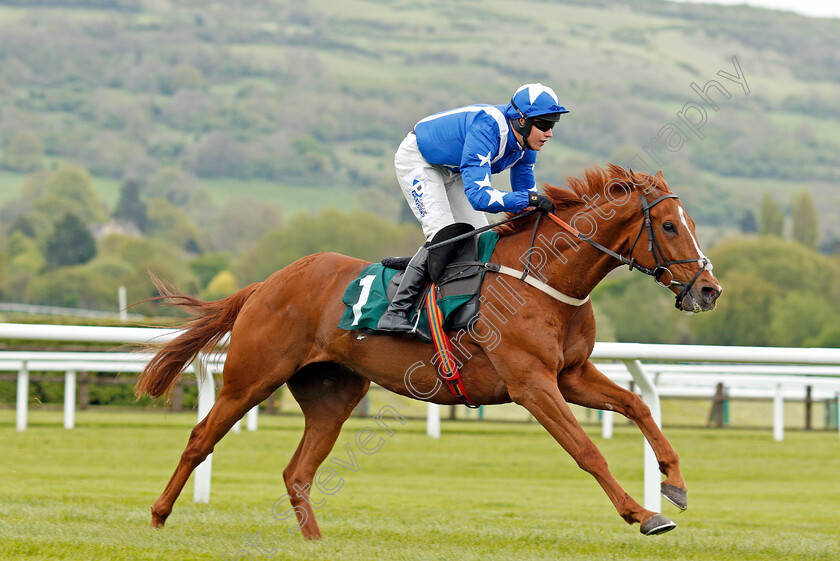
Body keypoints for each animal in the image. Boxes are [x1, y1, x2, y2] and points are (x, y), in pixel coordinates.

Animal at [136, 163, 720, 540]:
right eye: (670, 225)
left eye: (692, 223)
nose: (710, 290)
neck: (543, 278)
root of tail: (267, 283)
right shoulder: (532, 384)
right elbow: (586, 450)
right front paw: (643, 514)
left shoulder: (570, 373)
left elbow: (638, 405)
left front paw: (675, 483)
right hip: (252, 376)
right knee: (201, 438)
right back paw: (159, 515)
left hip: (333, 395)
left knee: (297, 472)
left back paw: (315, 541)